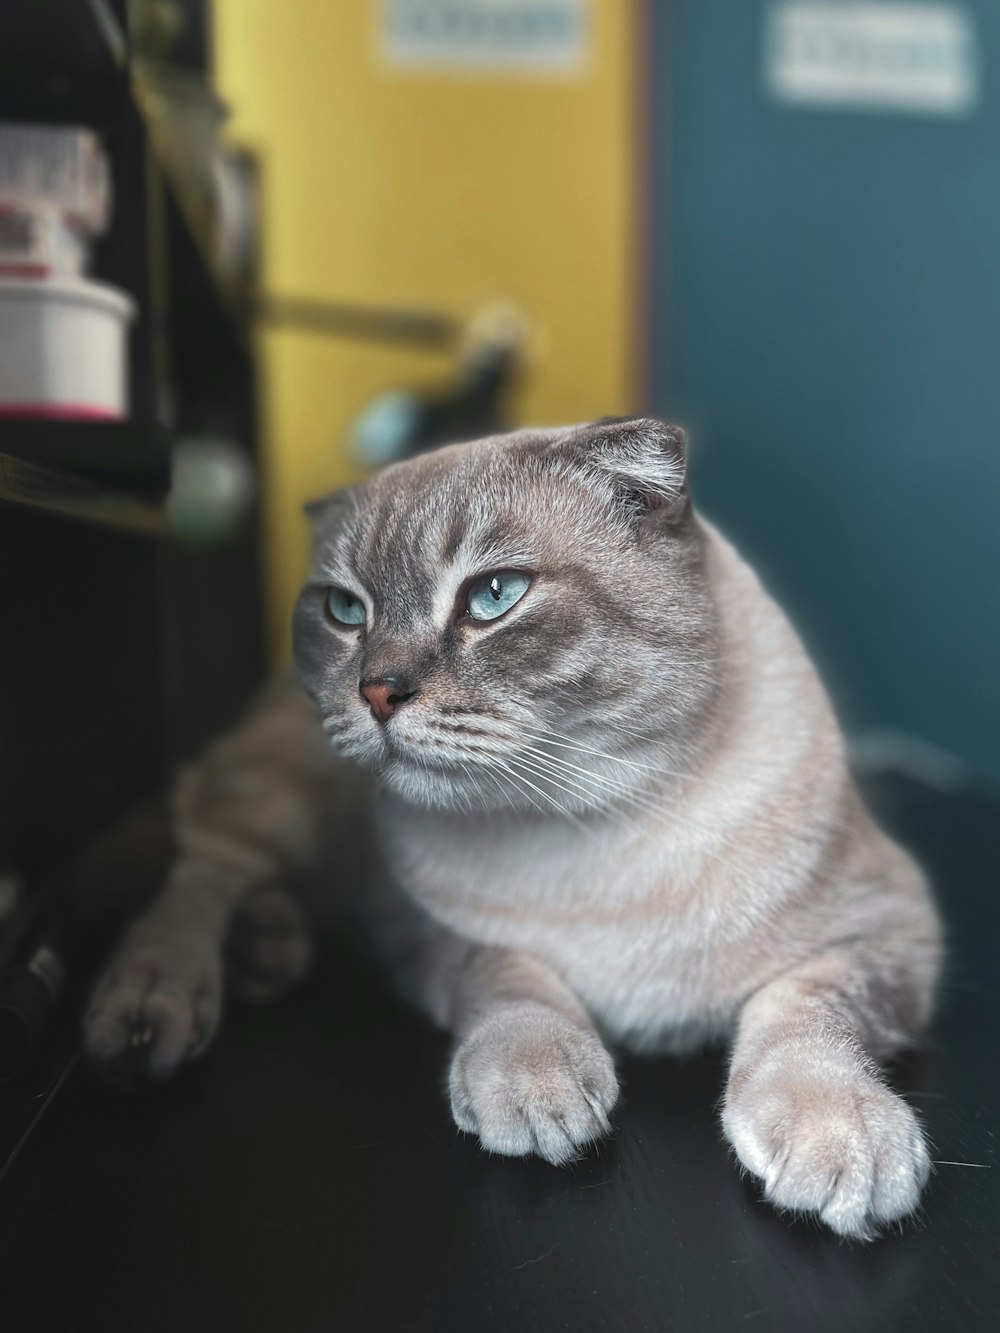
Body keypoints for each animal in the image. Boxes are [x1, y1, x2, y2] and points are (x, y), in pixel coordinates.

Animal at [84, 418, 938, 1237]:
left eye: (494, 595)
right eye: (345, 610)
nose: (377, 692)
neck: (599, 817)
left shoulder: (892, 930)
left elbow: (807, 1009)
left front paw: (839, 1137)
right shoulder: (419, 926)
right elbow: (508, 973)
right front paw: (536, 1081)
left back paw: (266, 945)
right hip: (281, 797)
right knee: (203, 868)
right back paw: (152, 1008)